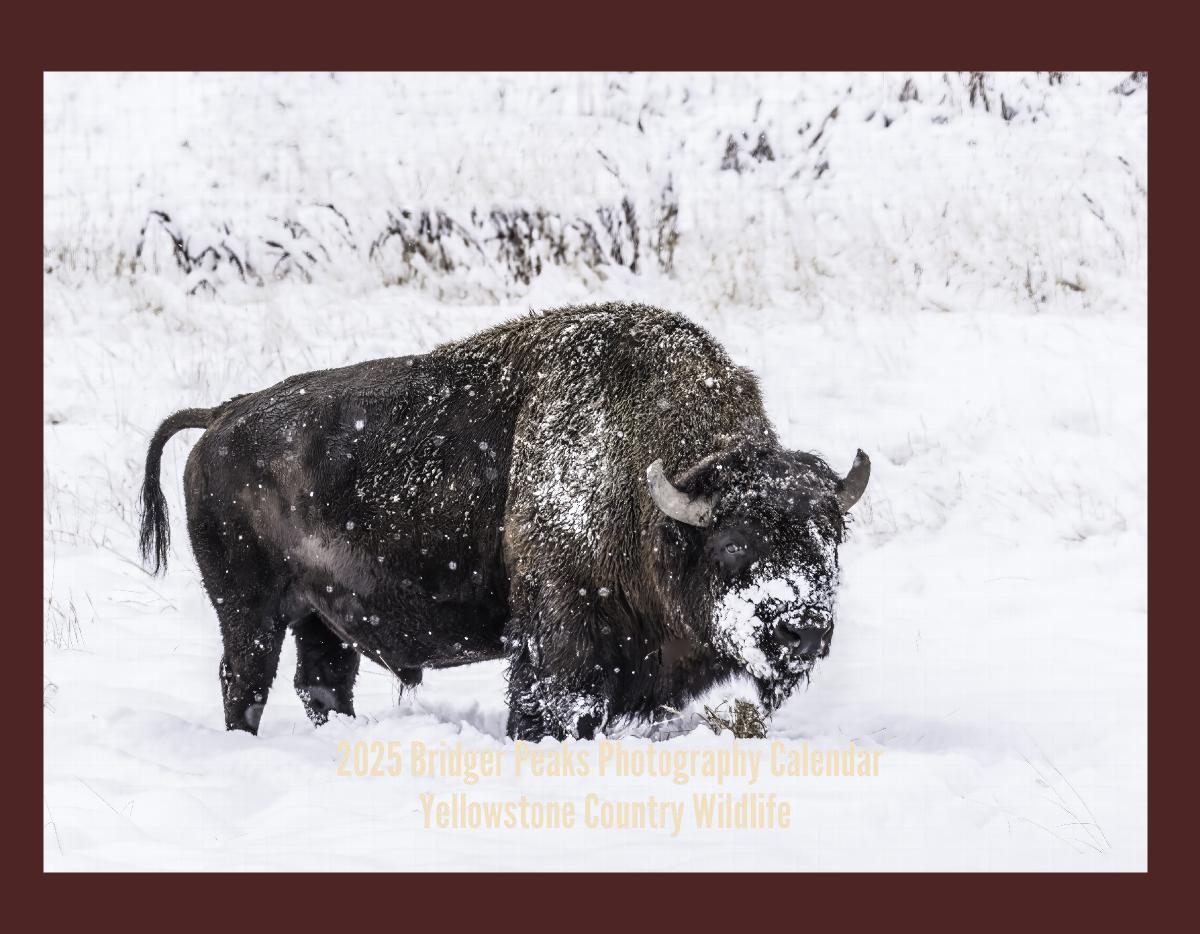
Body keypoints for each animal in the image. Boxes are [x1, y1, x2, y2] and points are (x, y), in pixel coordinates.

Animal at [140, 302, 868, 739]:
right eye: (733, 545)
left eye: (828, 540)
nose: (803, 631)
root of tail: (222, 415)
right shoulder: (562, 632)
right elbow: (549, 700)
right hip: (248, 611)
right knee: (245, 681)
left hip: (320, 619)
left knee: (321, 684)